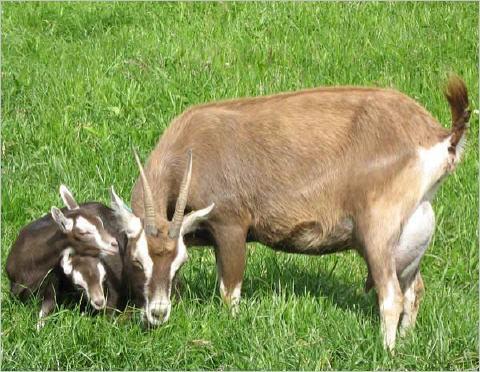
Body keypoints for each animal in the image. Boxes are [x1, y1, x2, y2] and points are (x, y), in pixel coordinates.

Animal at [126, 76, 468, 352]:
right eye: (137, 260)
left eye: (178, 260)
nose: (157, 314)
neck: (191, 147)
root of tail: (438, 134)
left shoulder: (230, 226)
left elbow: (229, 290)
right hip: (410, 237)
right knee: (414, 291)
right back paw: (407, 342)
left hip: (377, 234)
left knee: (391, 297)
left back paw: (387, 352)